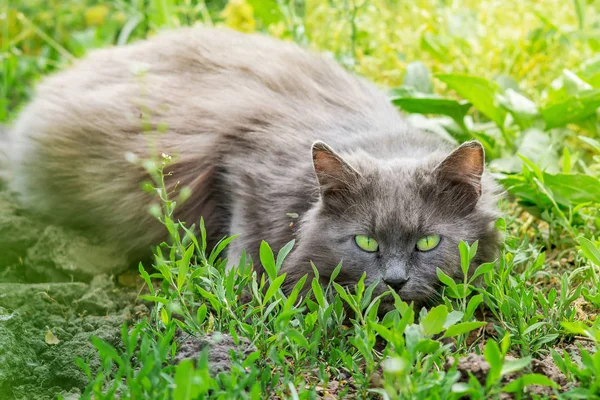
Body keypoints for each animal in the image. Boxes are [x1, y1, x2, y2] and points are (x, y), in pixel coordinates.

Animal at [7, 26, 500, 308]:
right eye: (365, 242)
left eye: (427, 242)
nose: (395, 282)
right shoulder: (241, 169)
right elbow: (246, 246)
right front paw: (243, 288)